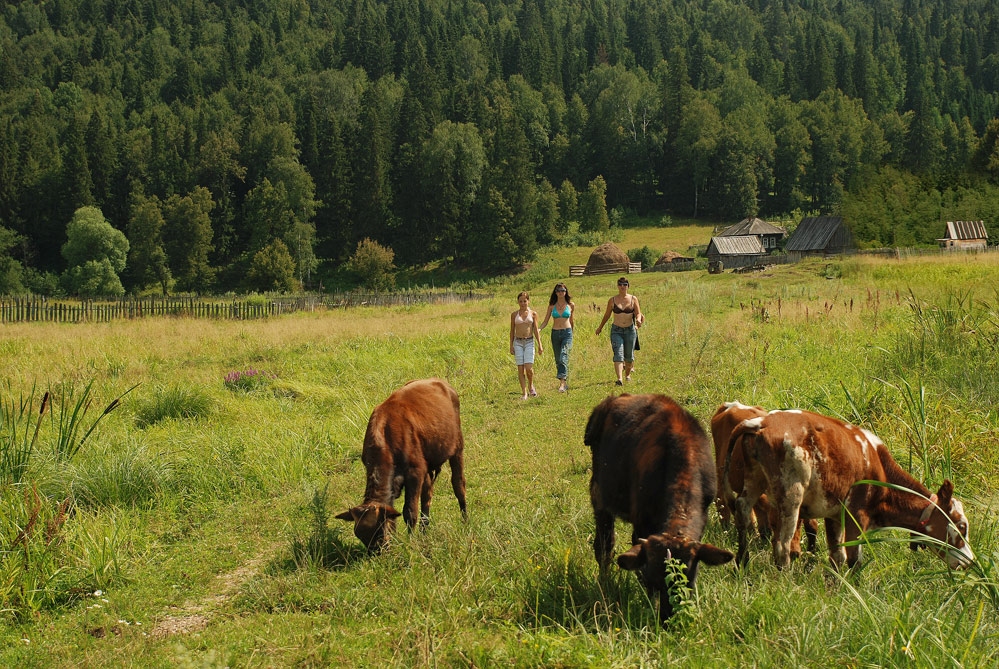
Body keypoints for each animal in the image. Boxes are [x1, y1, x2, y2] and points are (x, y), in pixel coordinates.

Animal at [336, 378, 468, 552]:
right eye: (359, 534)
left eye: (380, 529)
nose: (377, 552)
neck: (386, 437)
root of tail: (441, 382)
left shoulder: (415, 473)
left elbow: (410, 511)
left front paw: (410, 542)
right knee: (427, 495)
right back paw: (424, 531)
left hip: (457, 449)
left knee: (458, 485)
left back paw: (465, 522)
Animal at [584, 394, 736, 624]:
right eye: (654, 583)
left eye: (689, 581)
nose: (668, 620)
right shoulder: (641, 526)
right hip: (600, 494)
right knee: (604, 546)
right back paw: (604, 584)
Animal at [708, 404, 816, 556]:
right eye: (775, 524)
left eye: (799, 522)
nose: (793, 553)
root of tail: (733, 404)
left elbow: (812, 525)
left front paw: (812, 553)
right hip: (720, 470)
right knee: (721, 501)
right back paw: (727, 528)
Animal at [728, 408, 976, 568]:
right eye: (962, 526)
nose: (970, 561)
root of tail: (763, 422)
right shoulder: (857, 514)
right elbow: (854, 559)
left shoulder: (834, 515)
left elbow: (837, 557)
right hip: (791, 496)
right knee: (782, 545)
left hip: (754, 480)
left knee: (742, 511)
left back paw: (742, 562)